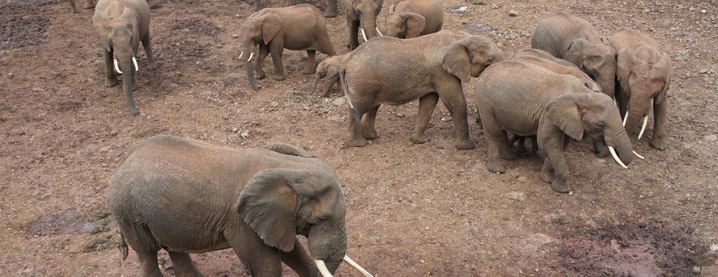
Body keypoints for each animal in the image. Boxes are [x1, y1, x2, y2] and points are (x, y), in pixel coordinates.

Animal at [111, 135, 376, 276]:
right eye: (320, 219)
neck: (285, 166)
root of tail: (123, 160)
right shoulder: (241, 220)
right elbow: (266, 264)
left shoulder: (277, 218)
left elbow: (292, 252)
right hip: (129, 212)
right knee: (148, 253)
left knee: (175, 249)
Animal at [342, 30, 506, 149]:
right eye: (490, 59)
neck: (460, 37)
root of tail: (346, 62)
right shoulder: (442, 72)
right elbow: (456, 102)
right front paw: (467, 147)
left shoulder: (434, 75)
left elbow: (429, 103)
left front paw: (420, 141)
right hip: (362, 82)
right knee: (360, 107)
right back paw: (358, 144)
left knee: (373, 106)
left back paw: (371, 136)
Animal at [478, 60, 636, 194]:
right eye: (600, 124)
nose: (595, 153)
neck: (583, 93)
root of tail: (484, 71)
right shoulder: (547, 114)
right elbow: (548, 142)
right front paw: (563, 190)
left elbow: (560, 145)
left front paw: (547, 179)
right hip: (485, 101)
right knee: (493, 132)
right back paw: (498, 169)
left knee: (501, 130)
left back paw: (511, 157)